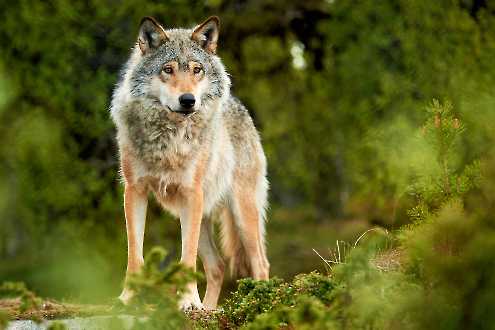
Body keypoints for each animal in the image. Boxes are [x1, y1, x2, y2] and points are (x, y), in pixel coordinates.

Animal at [110, 15, 270, 310]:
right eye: (168, 69)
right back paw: (208, 308)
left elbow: (186, 259)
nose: (188, 100)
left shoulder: (190, 194)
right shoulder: (134, 191)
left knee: (260, 263)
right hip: (204, 216)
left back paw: (261, 303)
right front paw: (127, 298)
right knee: (218, 267)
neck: (168, 140)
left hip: (241, 214)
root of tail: (240, 106)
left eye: (197, 70)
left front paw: (187, 302)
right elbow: (134, 253)